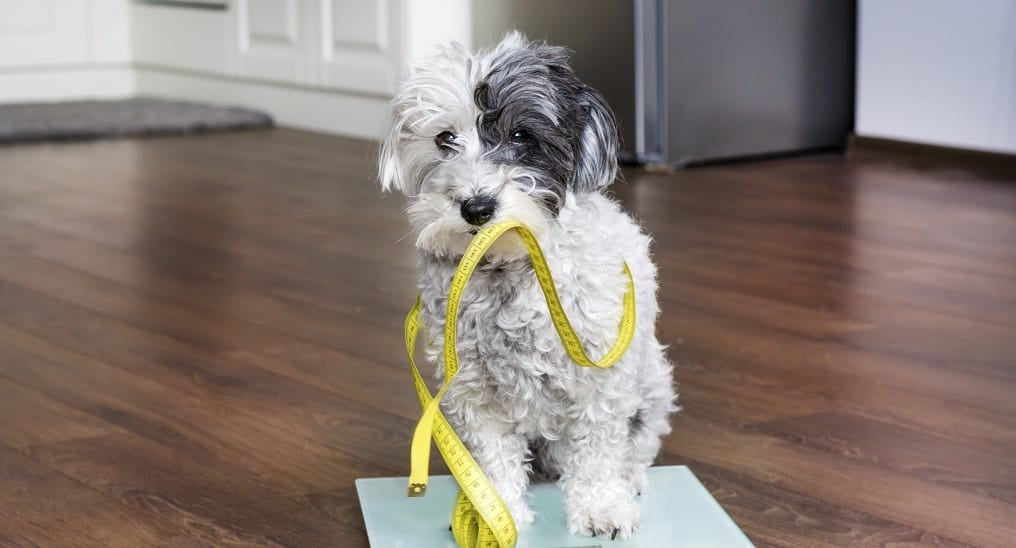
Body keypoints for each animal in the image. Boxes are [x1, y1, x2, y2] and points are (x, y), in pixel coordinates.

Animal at [377, 33, 678, 540]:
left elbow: (598, 451)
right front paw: (491, 515)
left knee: (636, 445)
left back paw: (630, 478)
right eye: (444, 139)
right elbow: (494, 461)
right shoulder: (472, 389)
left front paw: (602, 507)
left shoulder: (599, 379)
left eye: (521, 136)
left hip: (653, 384)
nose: (477, 207)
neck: (510, 269)